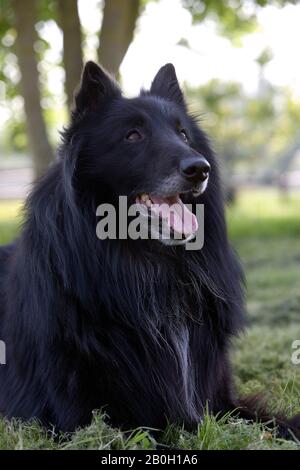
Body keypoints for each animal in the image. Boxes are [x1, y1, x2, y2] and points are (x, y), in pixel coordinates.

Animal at [0, 61, 300, 436]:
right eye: (133, 136)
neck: (152, 268)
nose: (200, 169)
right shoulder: (86, 418)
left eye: (183, 134)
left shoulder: (219, 399)